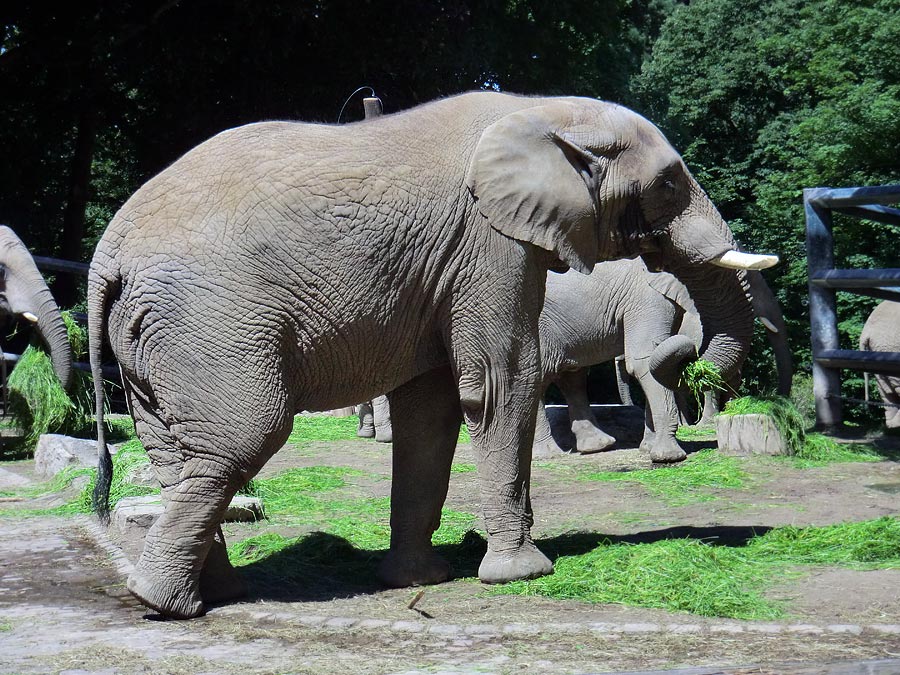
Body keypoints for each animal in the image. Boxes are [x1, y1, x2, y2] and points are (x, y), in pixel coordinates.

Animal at [536, 256, 700, 462]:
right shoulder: (646, 299)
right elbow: (644, 360)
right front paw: (669, 456)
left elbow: (654, 361)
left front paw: (648, 449)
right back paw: (549, 454)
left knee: (572, 377)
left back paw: (599, 445)